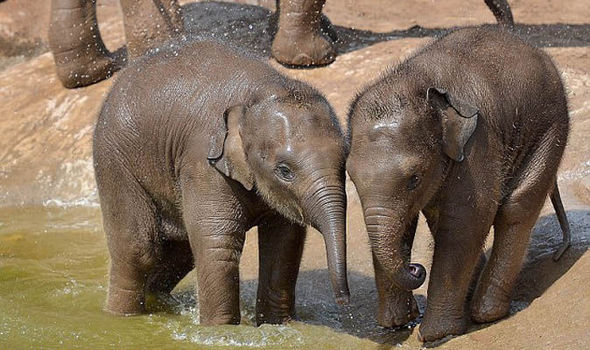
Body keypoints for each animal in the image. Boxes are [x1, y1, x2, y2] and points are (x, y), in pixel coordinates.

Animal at [93, 40, 352, 326]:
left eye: (344, 165)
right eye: (284, 171)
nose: (344, 302)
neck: (260, 91)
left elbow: (285, 242)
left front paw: (277, 325)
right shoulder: (202, 162)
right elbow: (219, 243)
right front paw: (222, 331)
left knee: (181, 251)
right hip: (115, 161)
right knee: (138, 248)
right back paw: (121, 318)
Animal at [350, 27, 572, 342]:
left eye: (414, 178)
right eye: (351, 177)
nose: (416, 268)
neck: (415, 81)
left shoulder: (478, 143)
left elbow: (466, 221)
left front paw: (434, 334)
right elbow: (407, 223)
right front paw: (395, 324)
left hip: (550, 126)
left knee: (516, 207)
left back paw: (486, 312)